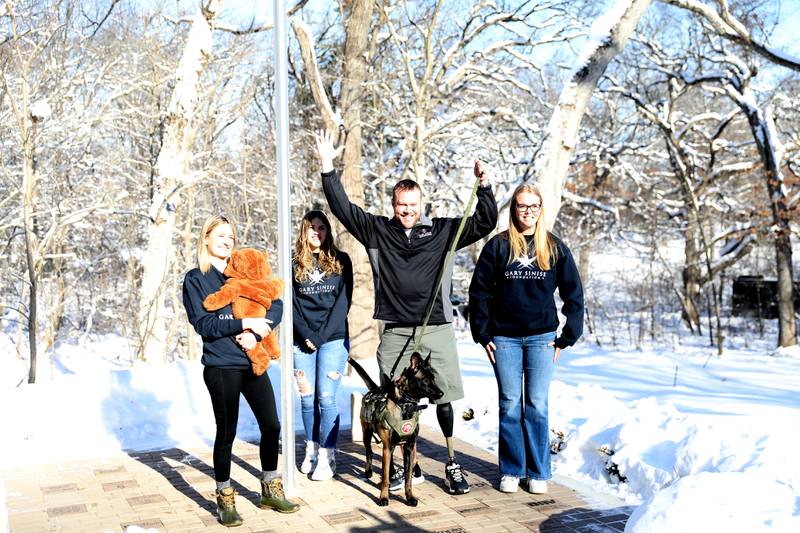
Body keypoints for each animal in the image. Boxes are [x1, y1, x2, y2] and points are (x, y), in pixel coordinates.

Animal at [348, 352, 444, 504]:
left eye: (433, 378)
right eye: (424, 380)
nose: (441, 393)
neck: (406, 407)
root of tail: (375, 389)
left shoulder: (409, 447)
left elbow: (408, 478)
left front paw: (409, 497)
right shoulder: (387, 446)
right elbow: (385, 477)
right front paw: (383, 497)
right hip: (368, 434)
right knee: (369, 451)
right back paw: (369, 471)